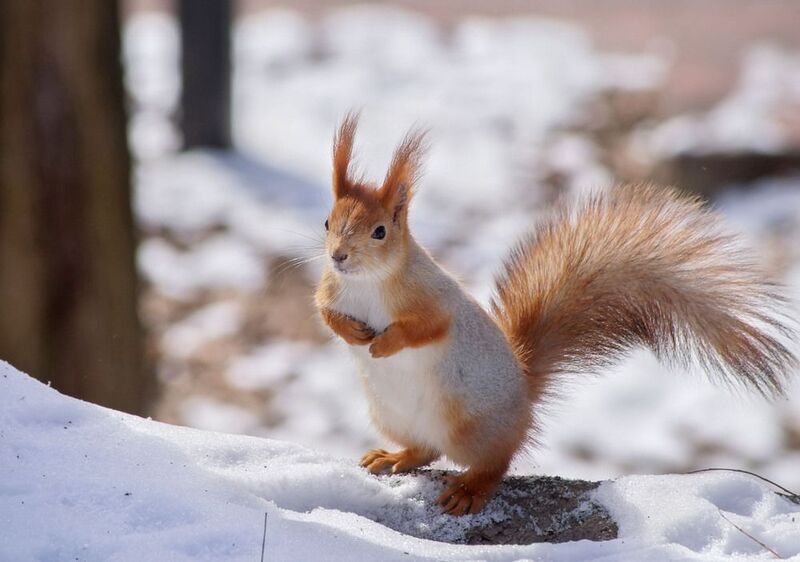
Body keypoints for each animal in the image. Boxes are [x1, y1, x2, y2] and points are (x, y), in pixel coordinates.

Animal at [315, 114, 797, 516]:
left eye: (380, 231)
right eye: (327, 222)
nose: (338, 257)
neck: (368, 282)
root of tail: (524, 397)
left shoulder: (432, 301)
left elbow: (424, 328)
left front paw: (382, 343)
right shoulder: (330, 289)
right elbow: (325, 312)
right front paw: (352, 333)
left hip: (470, 426)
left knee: (495, 462)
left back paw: (469, 490)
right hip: (392, 416)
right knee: (425, 451)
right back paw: (392, 456)